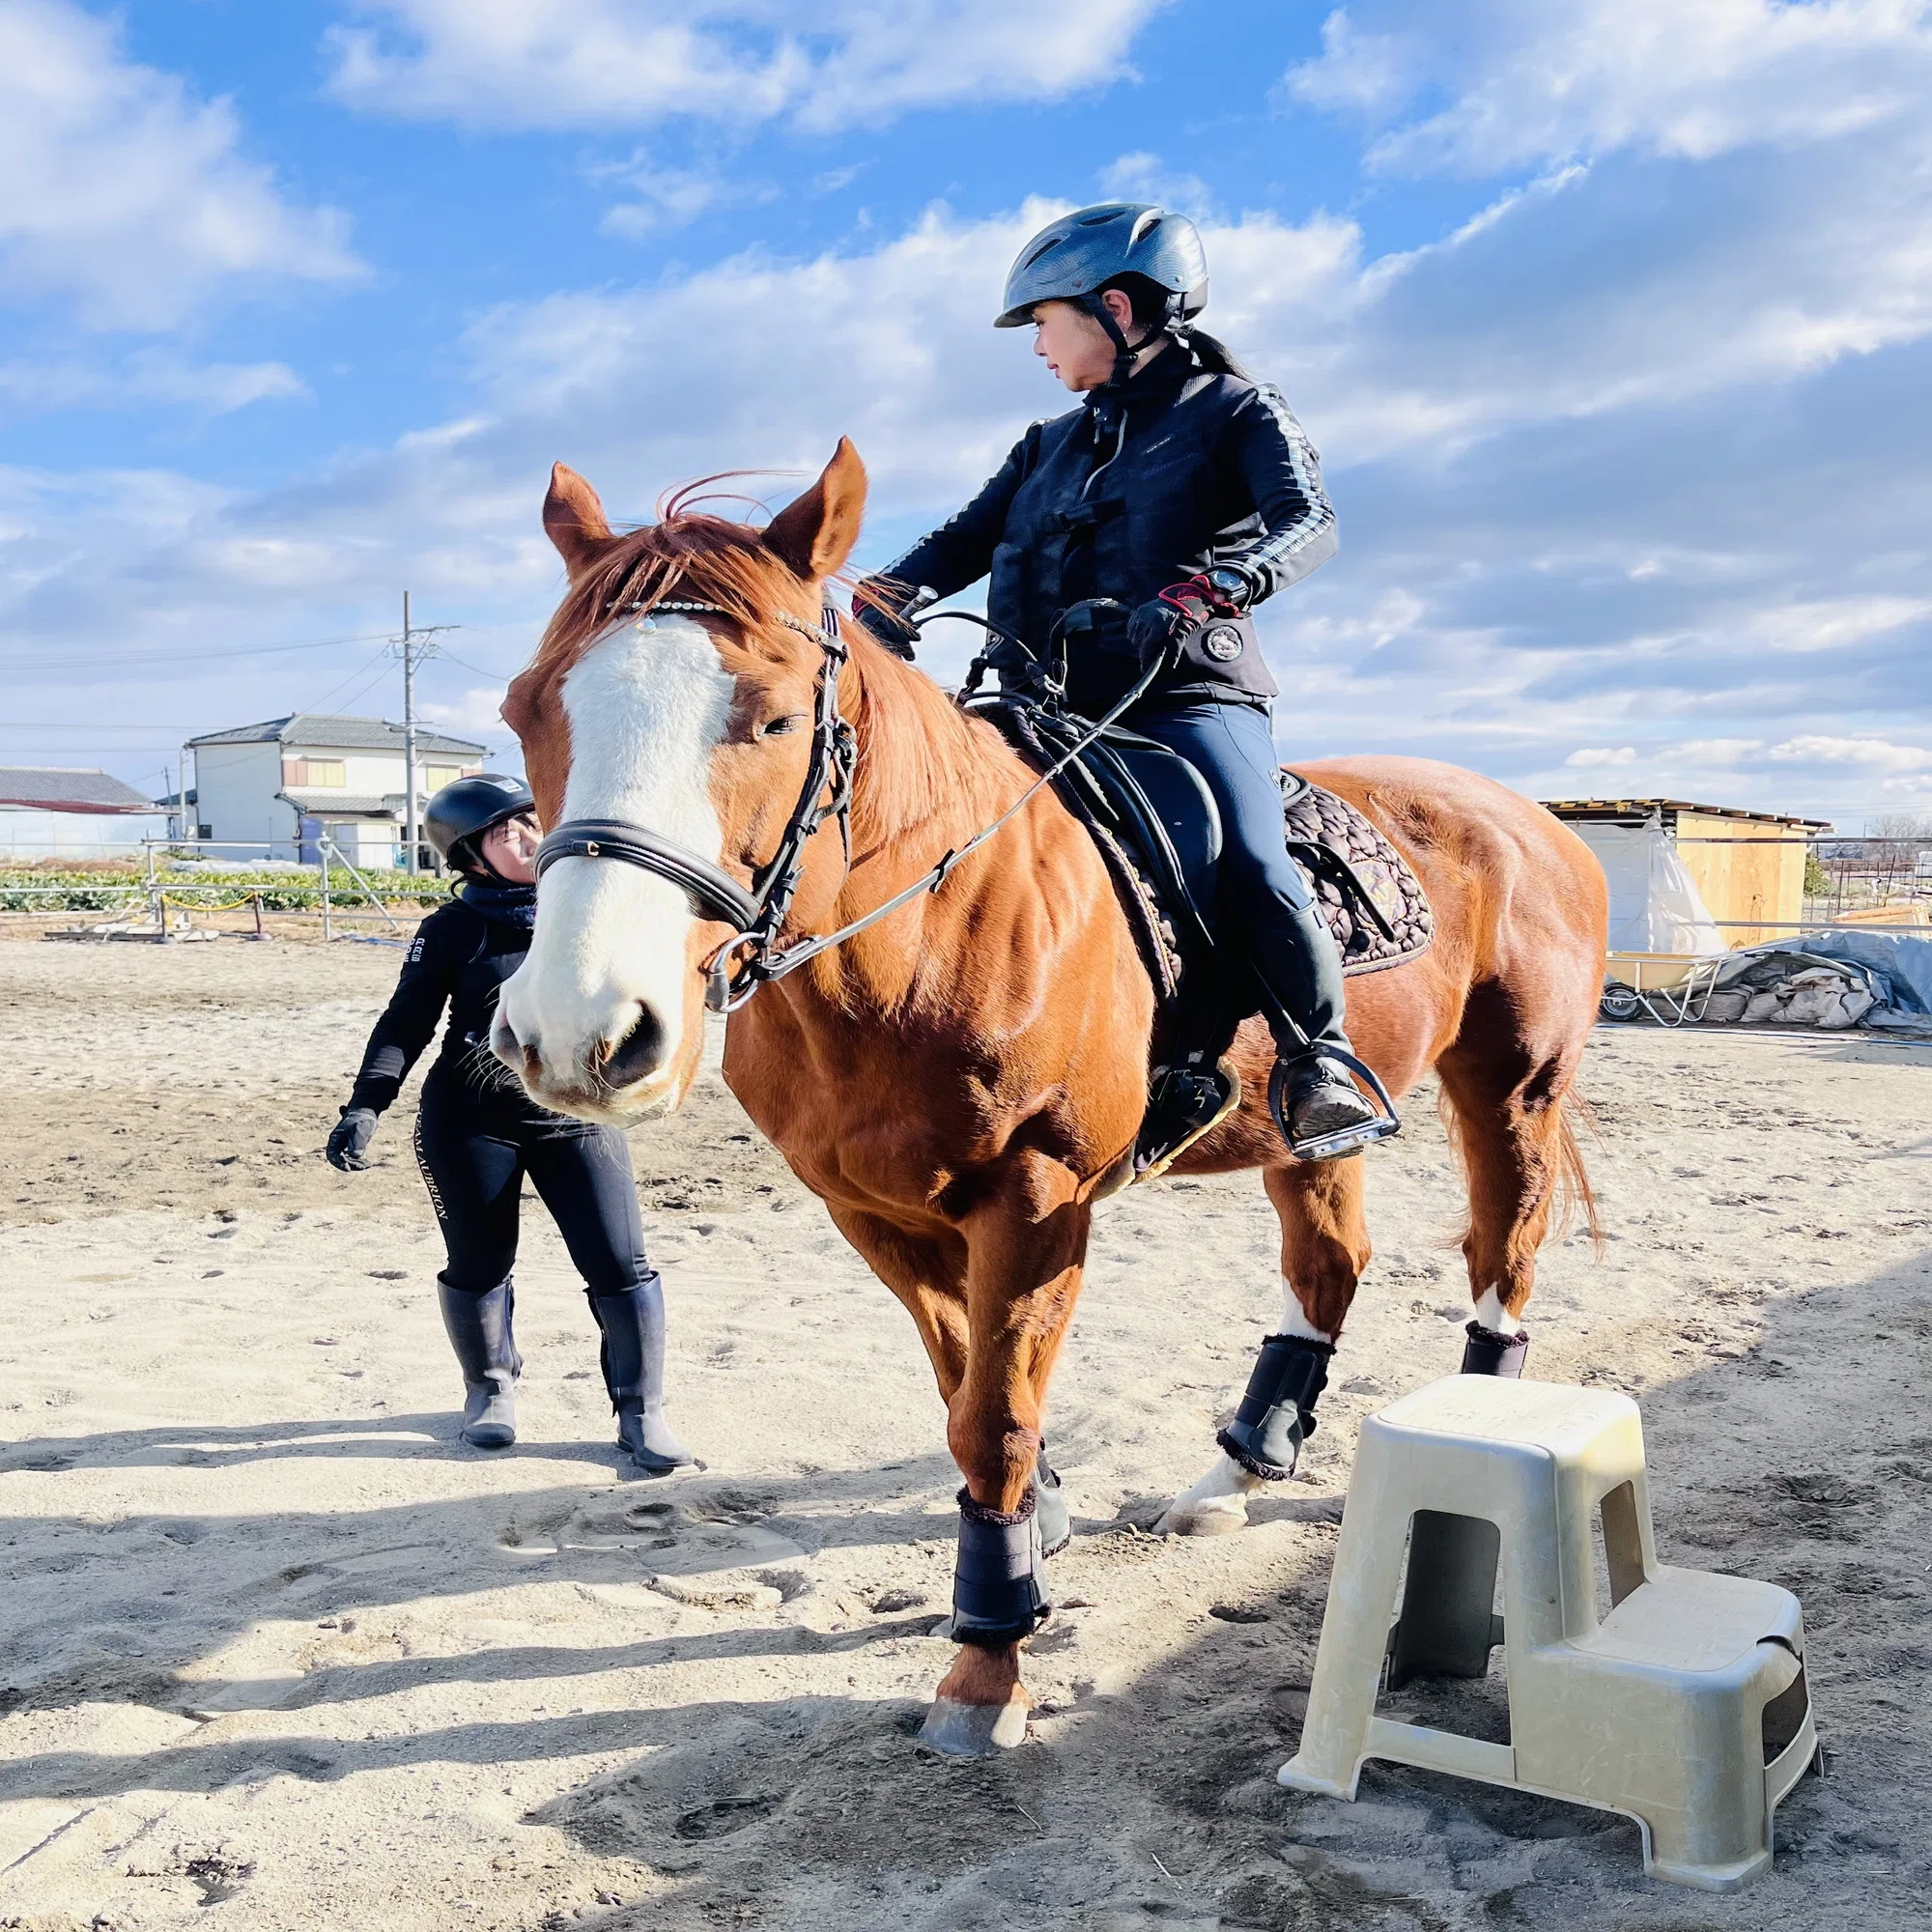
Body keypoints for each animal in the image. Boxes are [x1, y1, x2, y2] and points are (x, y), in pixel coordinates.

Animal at [493, 438, 1608, 1756]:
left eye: (768, 715)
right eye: (525, 708)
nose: (580, 1031)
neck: (926, 928)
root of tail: (1534, 817)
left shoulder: (1035, 1199)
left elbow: (994, 1414)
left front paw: (988, 1657)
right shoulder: (874, 1212)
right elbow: (965, 1387)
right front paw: (1032, 1534)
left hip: (1509, 1086)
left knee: (1501, 1248)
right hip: (1307, 1132)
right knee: (1329, 1266)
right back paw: (1235, 1472)